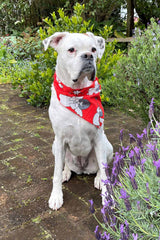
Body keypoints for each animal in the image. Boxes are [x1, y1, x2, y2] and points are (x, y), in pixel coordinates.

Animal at [42, 32, 112, 210]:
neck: (77, 94)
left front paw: (107, 198)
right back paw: (66, 172)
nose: (88, 56)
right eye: (71, 50)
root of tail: (82, 169)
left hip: (107, 145)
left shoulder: (98, 138)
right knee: (65, 163)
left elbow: (104, 171)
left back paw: (97, 178)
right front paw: (56, 196)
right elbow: (55, 173)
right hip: (55, 146)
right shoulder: (60, 139)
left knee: (102, 166)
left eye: (94, 49)